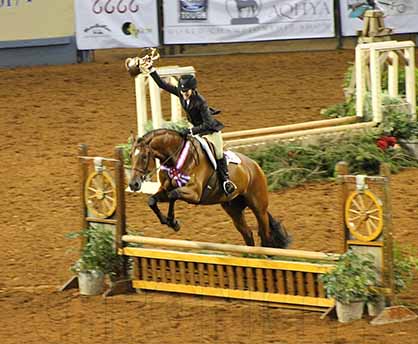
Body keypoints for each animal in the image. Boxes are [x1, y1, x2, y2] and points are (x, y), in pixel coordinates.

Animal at [128, 127, 290, 249]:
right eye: (130, 155)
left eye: (144, 156)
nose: (133, 184)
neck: (177, 157)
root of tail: (256, 166)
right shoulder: (165, 191)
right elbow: (152, 200)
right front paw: (169, 222)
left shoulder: (194, 193)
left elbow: (174, 194)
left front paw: (172, 222)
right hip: (234, 209)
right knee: (248, 234)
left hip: (258, 207)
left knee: (266, 234)